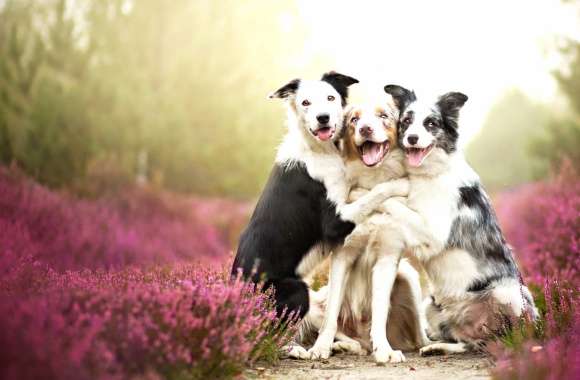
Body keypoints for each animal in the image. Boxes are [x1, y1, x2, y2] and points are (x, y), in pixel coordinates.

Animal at [232, 73, 408, 324]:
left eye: (330, 98)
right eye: (305, 102)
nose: (322, 117)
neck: (320, 150)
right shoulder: (334, 222)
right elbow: (373, 193)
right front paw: (401, 184)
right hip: (295, 290)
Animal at [376, 86, 540, 356]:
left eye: (431, 123)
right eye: (406, 121)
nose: (412, 138)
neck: (430, 174)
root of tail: (480, 330)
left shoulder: (432, 231)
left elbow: (394, 204)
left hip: (508, 292)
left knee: (508, 337)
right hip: (431, 306)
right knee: (465, 343)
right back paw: (437, 347)